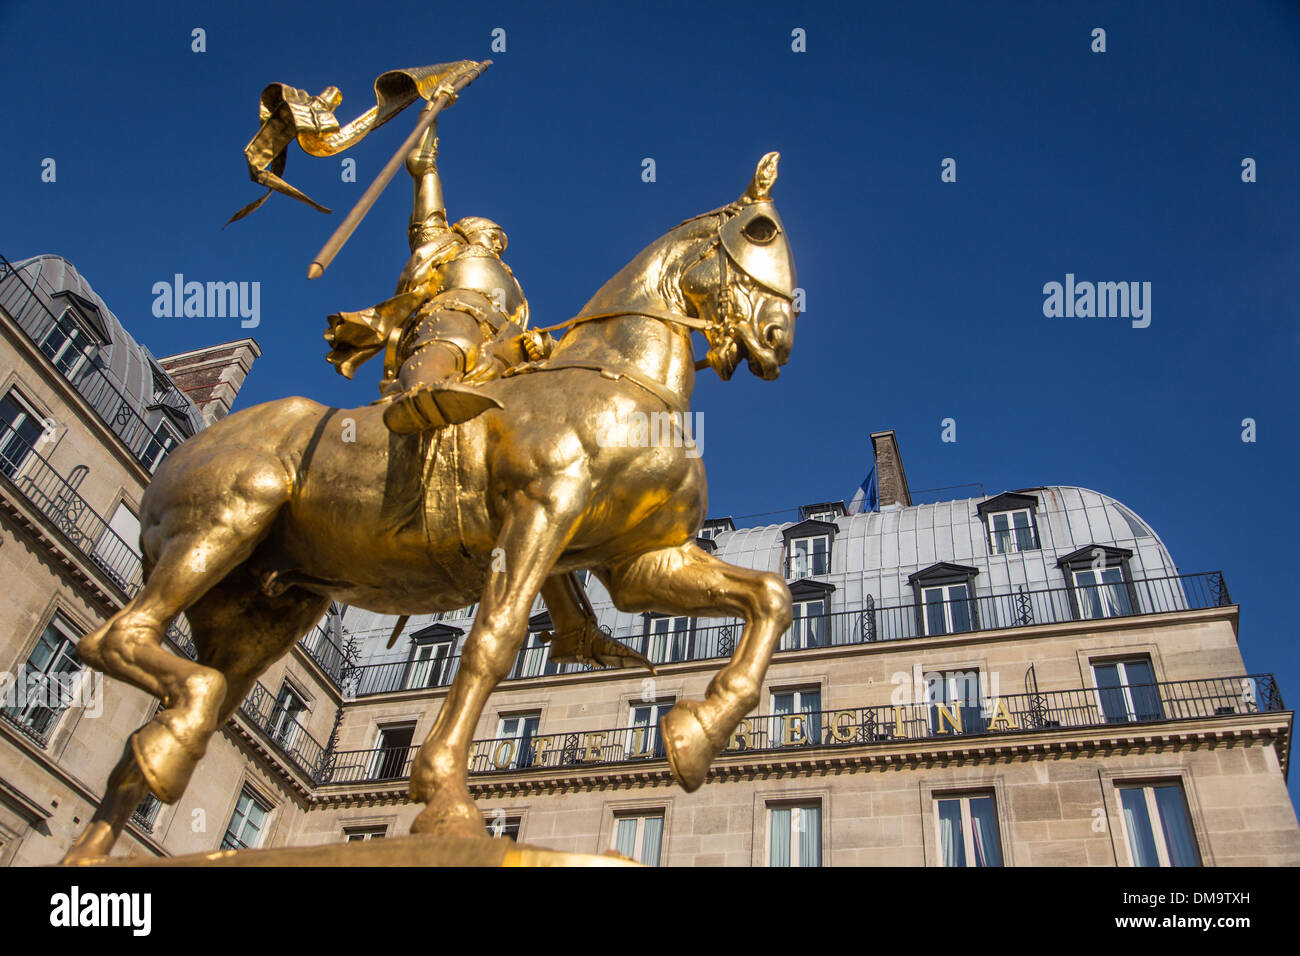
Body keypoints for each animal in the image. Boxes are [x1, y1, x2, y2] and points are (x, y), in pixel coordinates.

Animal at [65, 153, 795, 863]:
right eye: (761, 230)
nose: (777, 338)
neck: (622, 378)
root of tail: (183, 445)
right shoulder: (542, 510)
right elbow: (492, 643)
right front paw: (445, 798)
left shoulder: (640, 562)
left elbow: (772, 598)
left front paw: (695, 734)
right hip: (228, 518)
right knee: (117, 637)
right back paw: (177, 732)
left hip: (260, 615)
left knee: (144, 722)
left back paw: (134, 791)